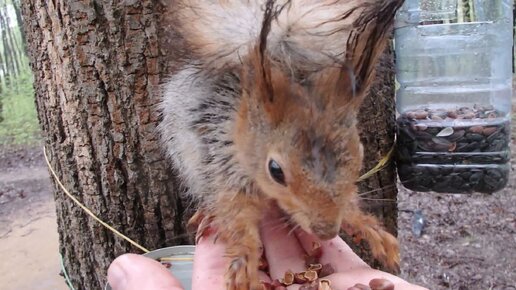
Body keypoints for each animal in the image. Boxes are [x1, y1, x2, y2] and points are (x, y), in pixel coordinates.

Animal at [159, 1, 406, 288]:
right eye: (275, 171)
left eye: (360, 156)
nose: (326, 231)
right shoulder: (222, 162)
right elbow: (235, 215)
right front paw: (244, 261)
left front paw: (368, 228)